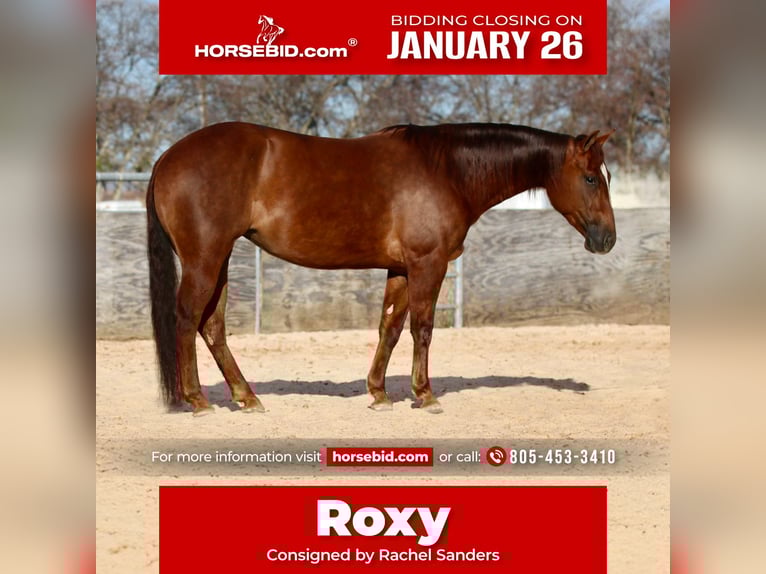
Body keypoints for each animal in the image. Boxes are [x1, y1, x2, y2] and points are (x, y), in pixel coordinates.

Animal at [146, 122, 615, 416]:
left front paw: (378, 393)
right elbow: (422, 328)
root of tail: (168, 156)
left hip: (220, 259)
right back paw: (198, 400)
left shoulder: (402, 269)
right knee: (187, 319)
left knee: (212, 326)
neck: (446, 170)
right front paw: (425, 395)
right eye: (592, 178)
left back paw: (247, 398)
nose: (607, 239)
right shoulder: (428, 263)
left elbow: (389, 327)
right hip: (205, 258)